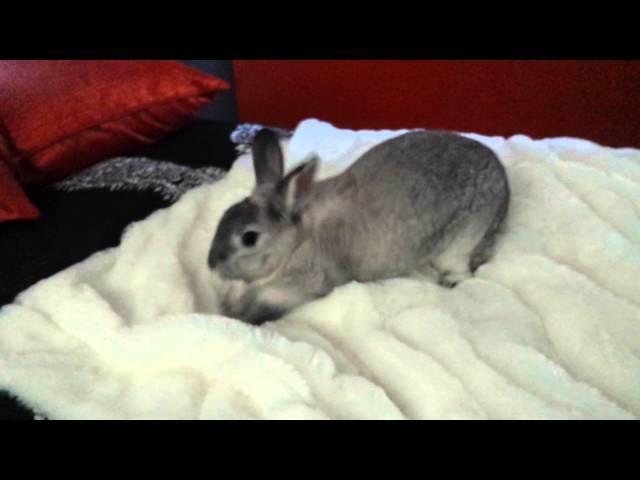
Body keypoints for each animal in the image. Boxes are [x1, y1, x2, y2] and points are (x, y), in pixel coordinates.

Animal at [209, 127, 510, 324]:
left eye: (249, 238)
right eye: (224, 216)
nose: (211, 264)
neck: (298, 240)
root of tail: (505, 194)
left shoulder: (301, 285)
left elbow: (265, 306)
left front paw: (235, 316)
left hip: (463, 240)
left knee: (462, 268)